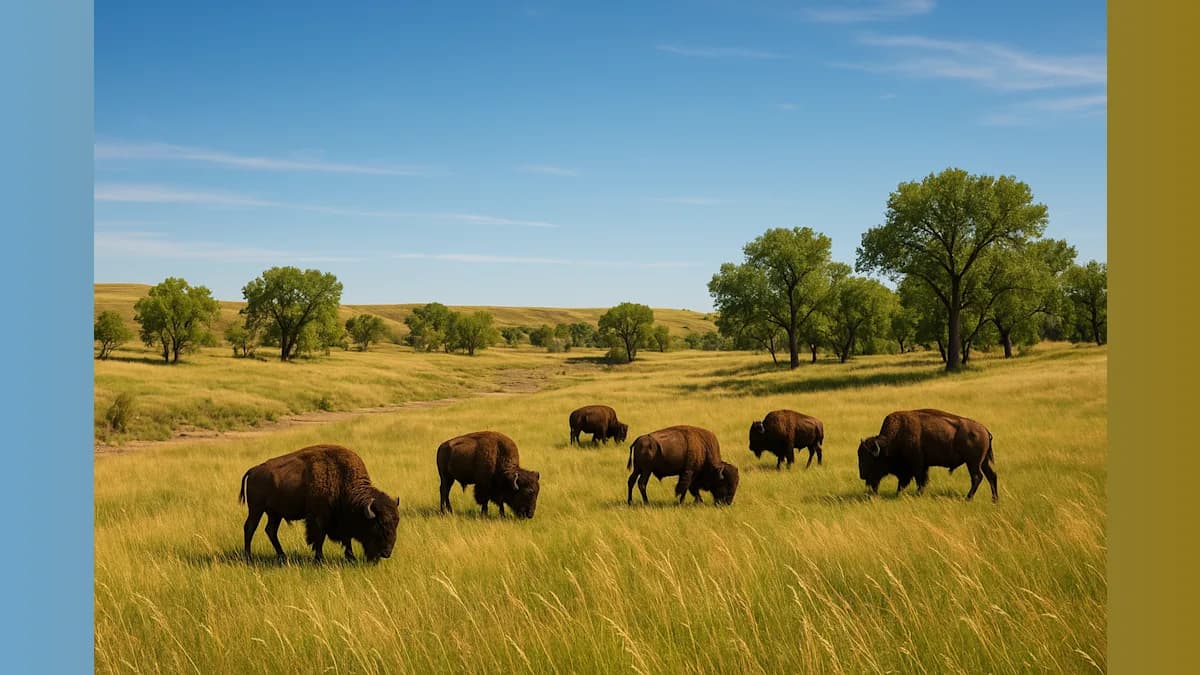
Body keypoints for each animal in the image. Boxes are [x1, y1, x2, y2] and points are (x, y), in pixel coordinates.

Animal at [239, 444, 400, 562]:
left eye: (396, 524)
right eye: (379, 525)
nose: (386, 553)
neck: (343, 481)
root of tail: (253, 470)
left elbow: (346, 538)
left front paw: (351, 557)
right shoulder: (319, 518)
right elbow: (319, 537)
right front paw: (320, 559)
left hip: (274, 513)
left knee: (270, 530)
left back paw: (282, 556)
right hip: (256, 509)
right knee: (250, 528)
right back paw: (249, 557)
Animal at [857, 409, 998, 501]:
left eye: (870, 459)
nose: (862, 475)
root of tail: (985, 430)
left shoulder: (917, 466)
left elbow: (919, 481)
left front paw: (917, 494)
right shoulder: (919, 467)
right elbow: (905, 483)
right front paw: (899, 494)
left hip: (973, 463)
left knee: (977, 477)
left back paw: (968, 498)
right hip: (983, 462)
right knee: (992, 476)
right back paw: (994, 500)